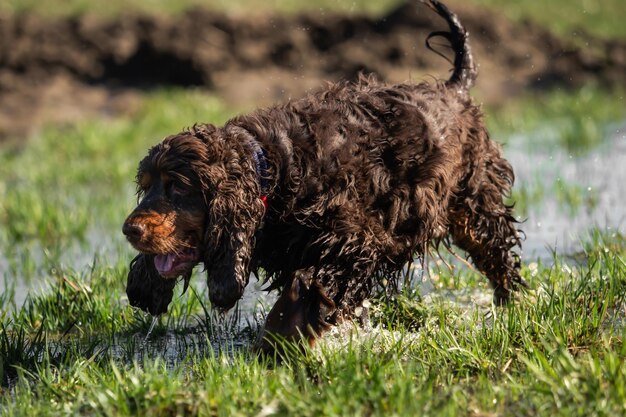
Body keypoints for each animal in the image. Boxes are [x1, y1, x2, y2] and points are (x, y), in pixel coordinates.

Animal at [120, 0, 520, 352]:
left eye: (177, 187)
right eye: (147, 187)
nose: (129, 230)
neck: (275, 171)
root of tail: (453, 87)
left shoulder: (359, 242)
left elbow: (304, 292)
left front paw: (274, 347)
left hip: (473, 201)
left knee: (498, 254)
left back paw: (513, 308)